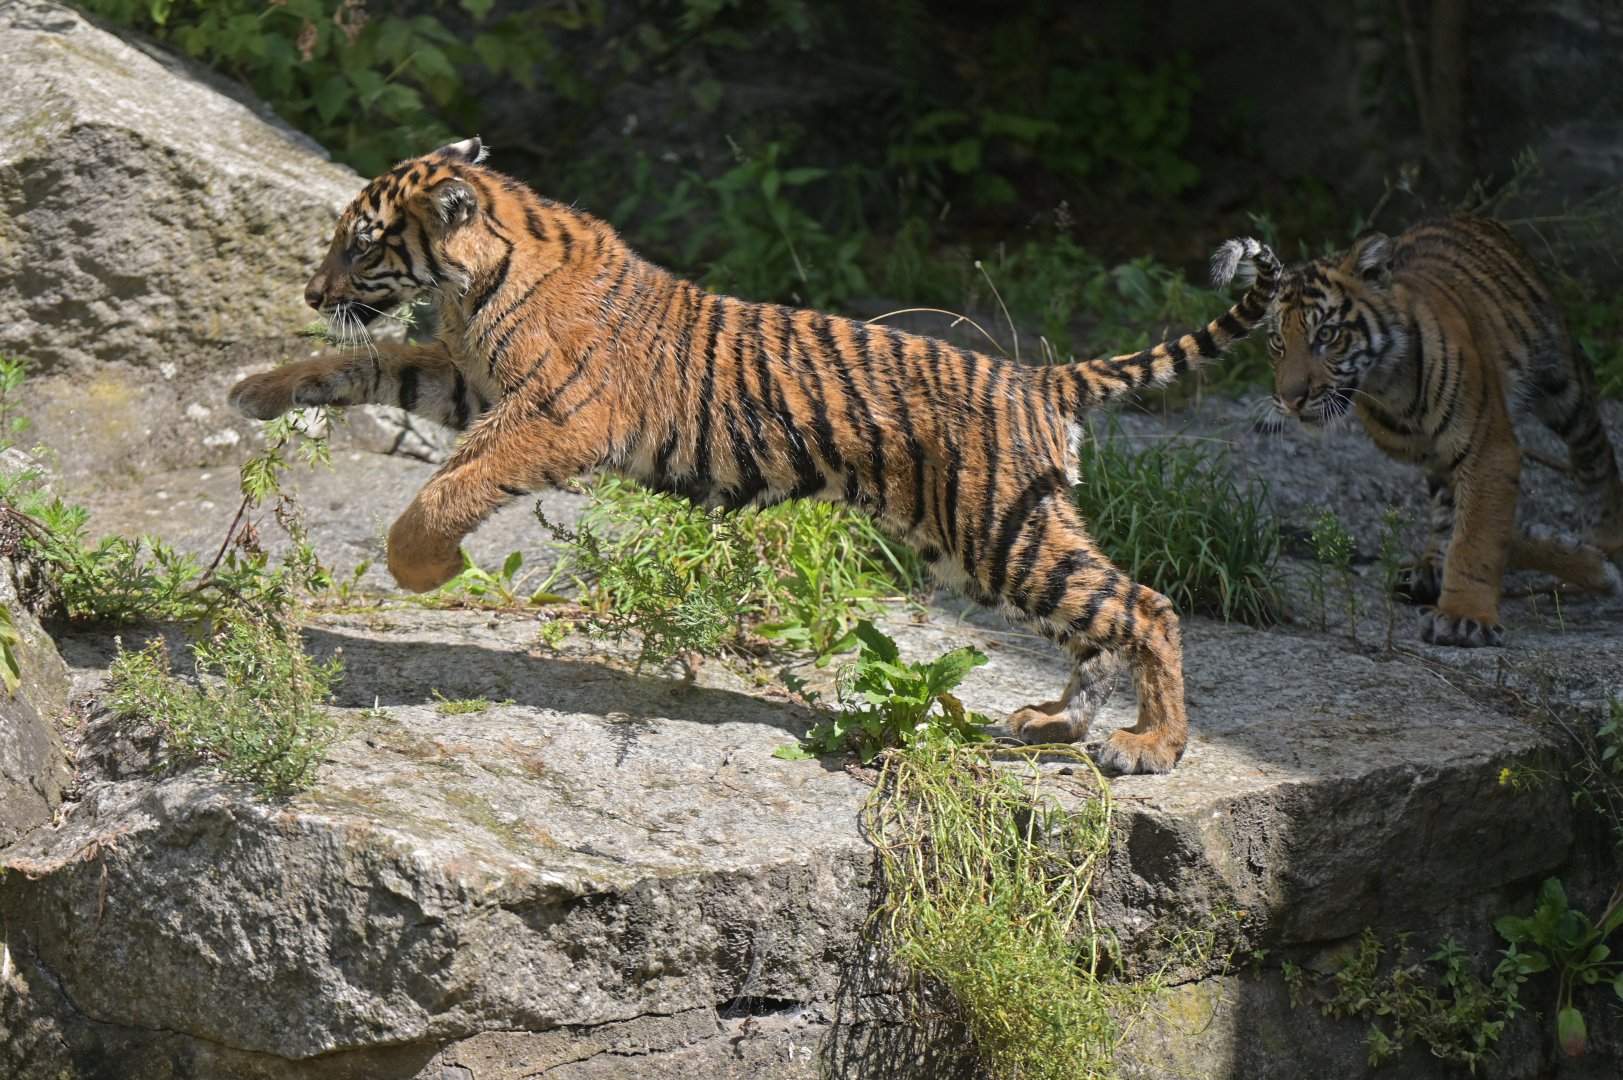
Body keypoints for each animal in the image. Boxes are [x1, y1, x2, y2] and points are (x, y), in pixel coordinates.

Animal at [228, 138, 1280, 775]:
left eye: (362, 245)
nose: (311, 289)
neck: (470, 281)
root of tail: (1038, 379)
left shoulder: (553, 416)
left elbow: (452, 487)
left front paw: (426, 570)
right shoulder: (464, 379)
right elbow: (365, 364)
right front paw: (260, 390)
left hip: (998, 533)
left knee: (1145, 606)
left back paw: (1151, 745)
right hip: (984, 547)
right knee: (1093, 625)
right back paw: (1053, 723)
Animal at [1264, 212, 1623, 647]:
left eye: (1327, 335)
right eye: (1277, 342)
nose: (1291, 399)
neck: (1387, 387)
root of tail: (1469, 214)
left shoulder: (1488, 448)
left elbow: (1477, 535)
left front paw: (1464, 617)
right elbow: (1460, 520)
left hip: (1562, 385)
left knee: (1596, 451)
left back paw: (1606, 539)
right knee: (1444, 506)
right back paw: (1430, 567)